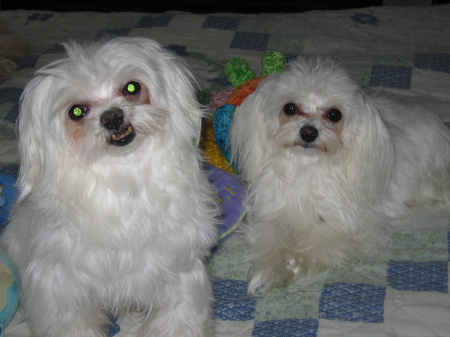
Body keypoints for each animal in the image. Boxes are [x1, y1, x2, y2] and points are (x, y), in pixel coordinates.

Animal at [1, 37, 220, 336]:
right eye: (76, 111)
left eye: (132, 87)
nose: (112, 117)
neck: (124, 178)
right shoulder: (60, 288)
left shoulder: (180, 273)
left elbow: (178, 320)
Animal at [230, 55, 450, 294]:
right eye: (290, 107)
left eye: (334, 114)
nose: (309, 132)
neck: (306, 168)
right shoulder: (270, 215)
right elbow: (272, 241)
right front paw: (272, 272)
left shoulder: (349, 226)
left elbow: (319, 244)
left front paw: (296, 263)